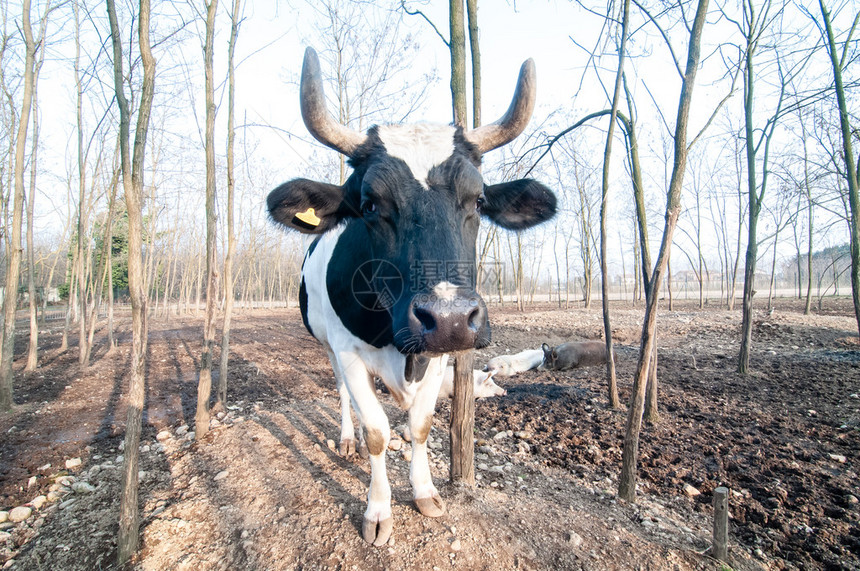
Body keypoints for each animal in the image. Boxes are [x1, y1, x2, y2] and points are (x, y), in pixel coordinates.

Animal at [268, 48, 556, 544]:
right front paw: (378, 510)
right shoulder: (347, 350)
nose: (450, 317)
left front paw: (424, 492)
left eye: (478, 201)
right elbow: (376, 432)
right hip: (328, 346)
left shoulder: (440, 355)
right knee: (342, 393)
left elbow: (419, 427)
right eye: (369, 205)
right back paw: (345, 438)